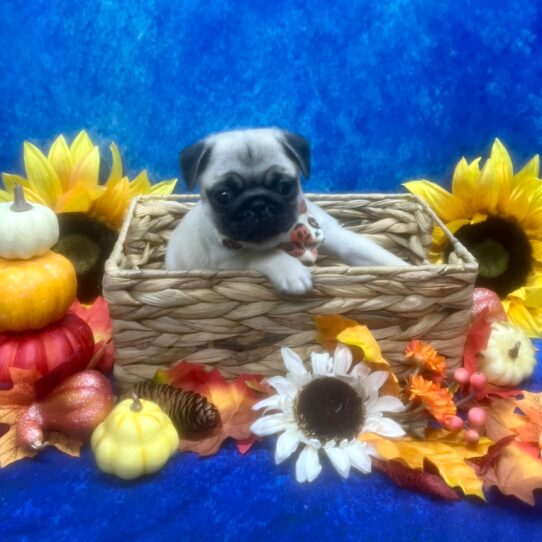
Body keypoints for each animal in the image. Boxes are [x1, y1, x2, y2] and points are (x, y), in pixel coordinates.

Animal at [166, 128, 408, 296]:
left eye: (285, 187)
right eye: (223, 196)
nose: (257, 204)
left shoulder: (325, 230)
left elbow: (363, 249)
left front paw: (404, 269)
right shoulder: (227, 261)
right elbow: (263, 253)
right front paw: (292, 272)